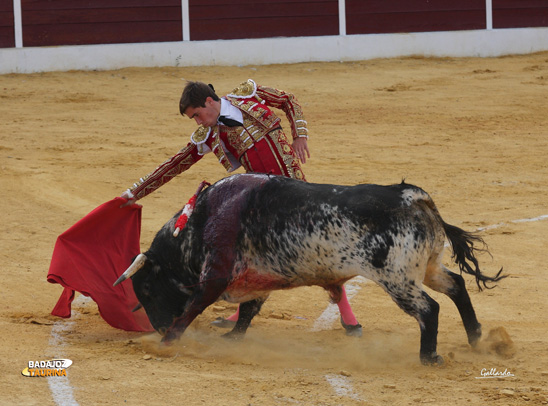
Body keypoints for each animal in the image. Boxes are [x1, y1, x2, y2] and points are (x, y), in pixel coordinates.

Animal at [113, 174, 504, 364]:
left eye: (145, 289)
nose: (157, 325)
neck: (202, 218)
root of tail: (412, 197)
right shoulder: (258, 276)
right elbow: (249, 310)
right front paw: (232, 338)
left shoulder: (217, 274)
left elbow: (194, 306)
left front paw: (167, 341)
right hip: (428, 267)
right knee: (456, 285)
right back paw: (476, 337)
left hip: (398, 279)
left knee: (429, 309)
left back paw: (430, 357)